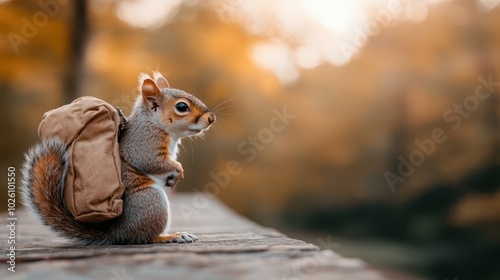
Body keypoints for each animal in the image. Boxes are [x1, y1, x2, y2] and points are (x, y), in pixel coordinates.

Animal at [20, 72, 216, 245]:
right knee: (144, 237)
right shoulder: (144, 142)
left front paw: (174, 177)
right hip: (151, 200)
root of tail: (116, 233)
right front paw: (178, 170)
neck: (155, 124)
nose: (211, 118)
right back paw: (170, 236)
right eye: (182, 107)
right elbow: (151, 161)